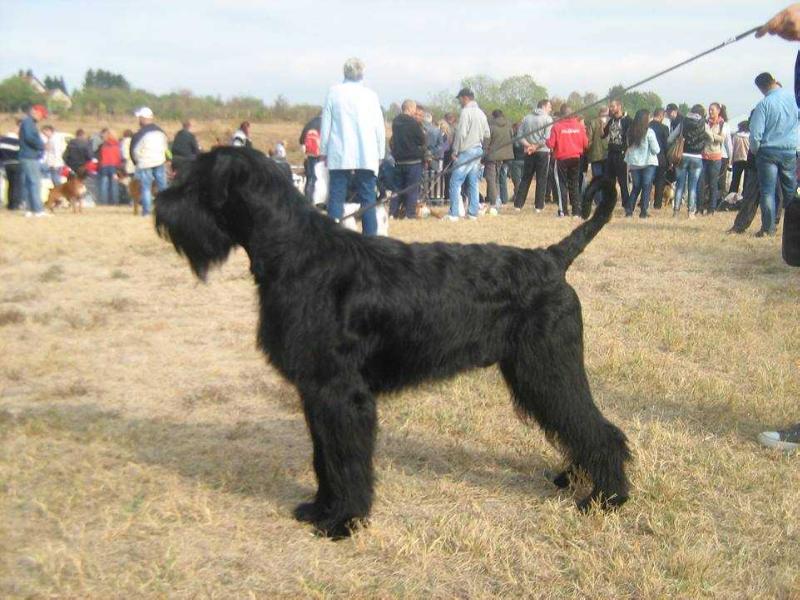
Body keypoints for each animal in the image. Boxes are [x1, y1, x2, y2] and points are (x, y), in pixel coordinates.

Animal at [156, 149, 632, 540]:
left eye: (194, 181)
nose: (161, 207)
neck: (299, 255)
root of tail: (552, 259)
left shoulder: (342, 394)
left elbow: (345, 458)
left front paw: (344, 521)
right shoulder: (317, 393)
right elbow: (323, 456)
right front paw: (320, 508)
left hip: (548, 367)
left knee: (599, 428)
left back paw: (605, 498)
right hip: (535, 372)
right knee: (577, 425)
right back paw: (578, 478)